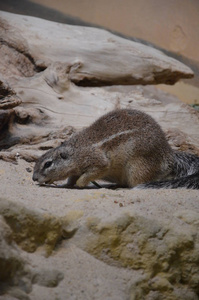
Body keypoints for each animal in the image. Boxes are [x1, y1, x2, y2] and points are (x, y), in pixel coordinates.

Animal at [32, 109, 199, 190]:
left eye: (48, 164)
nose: (34, 178)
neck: (76, 152)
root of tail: (169, 155)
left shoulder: (99, 162)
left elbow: (92, 172)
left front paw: (80, 183)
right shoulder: (76, 169)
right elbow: (71, 178)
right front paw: (66, 184)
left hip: (138, 168)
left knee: (136, 183)